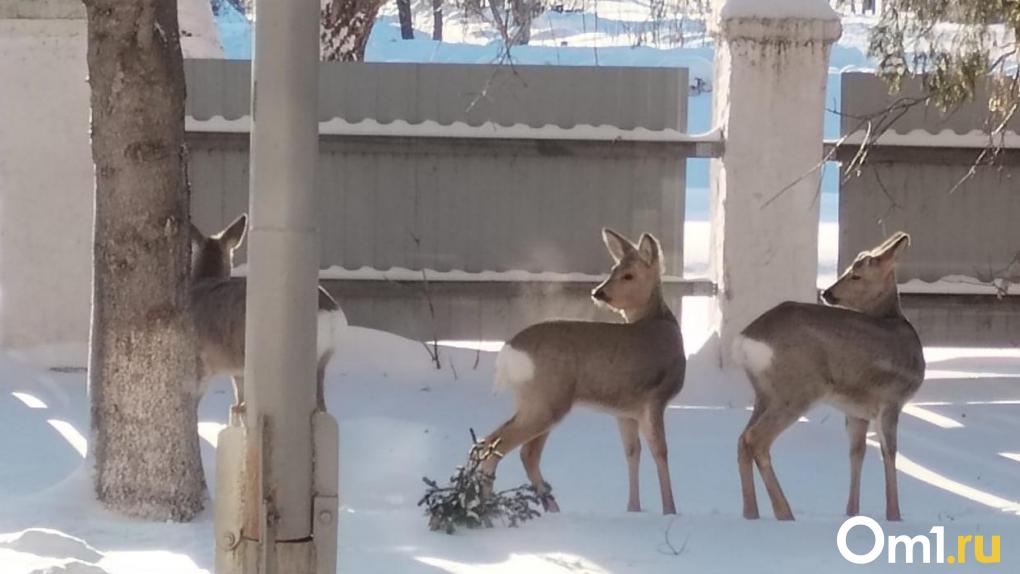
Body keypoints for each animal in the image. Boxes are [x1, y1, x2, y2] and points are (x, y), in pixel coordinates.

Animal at [183, 213, 342, 420]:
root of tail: (330, 314)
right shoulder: (237, 369)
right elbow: (238, 393)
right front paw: (238, 409)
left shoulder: (202, 363)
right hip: (322, 359)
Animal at [477, 229, 685, 515]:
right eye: (615, 270)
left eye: (627, 274)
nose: (599, 292)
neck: (660, 323)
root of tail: (508, 351)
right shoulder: (654, 398)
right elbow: (661, 452)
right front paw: (670, 511)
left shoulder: (625, 410)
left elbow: (632, 453)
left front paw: (633, 509)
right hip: (549, 399)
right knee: (499, 444)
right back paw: (488, 507)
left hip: (531, 399)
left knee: (515, 449)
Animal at [734, 231, 926, 522]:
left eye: (855, 274)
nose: (827, 292)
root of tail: (745, 340)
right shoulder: (891, 400)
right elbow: (889, 452)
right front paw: (894, 515)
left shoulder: (856, 411)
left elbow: (857, 452)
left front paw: (852, 512)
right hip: (798, 390)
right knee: (756, 439)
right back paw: (784, 513)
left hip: (764, 393)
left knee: (741, 440)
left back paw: (751, 513)